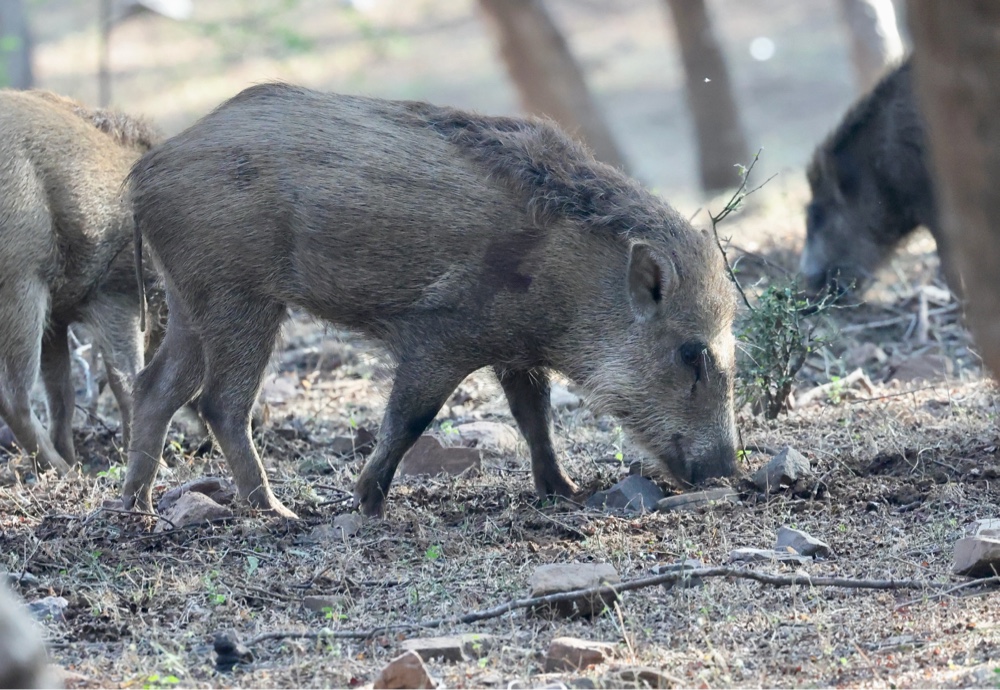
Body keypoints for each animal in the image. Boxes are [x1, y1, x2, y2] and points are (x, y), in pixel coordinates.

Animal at [0, 90, 161, 474]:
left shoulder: (57, 317)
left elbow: (62, 393)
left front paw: (77, 457)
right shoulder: (116, 294)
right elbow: (127, 379)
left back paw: (67, 465)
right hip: (20, 281)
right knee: (13, 392)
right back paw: (59, 469)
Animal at [122, 84, 739, 518]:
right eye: (691, 354)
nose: (728, 474)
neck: (568, 277)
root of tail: (143, 172)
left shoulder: (515, 350)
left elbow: (533, 418)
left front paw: (563, 492)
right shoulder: (440, 337)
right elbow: (410, 417)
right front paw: (367, 504)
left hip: (189, 300)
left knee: (155, 388)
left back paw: (138, 508)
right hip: (239, 299)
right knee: (220, 403)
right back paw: (278, 512)